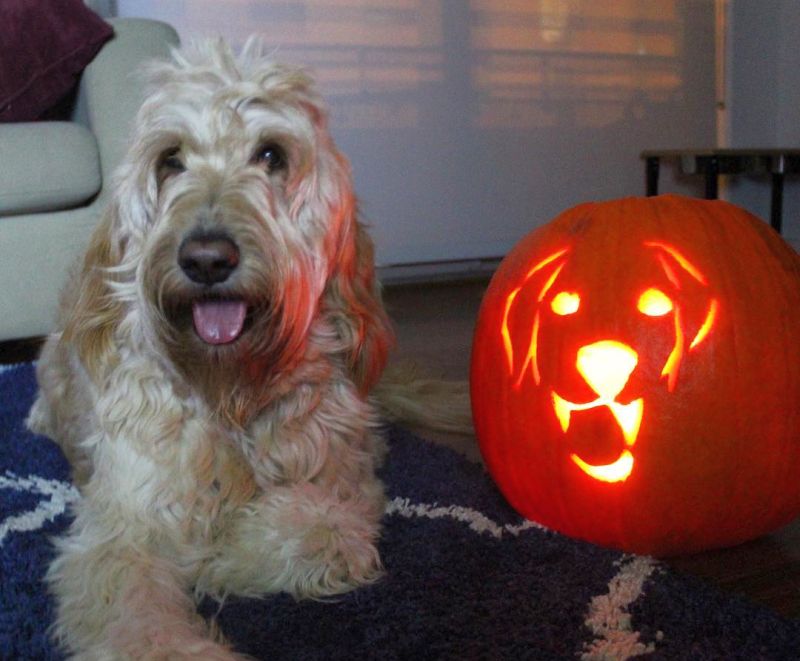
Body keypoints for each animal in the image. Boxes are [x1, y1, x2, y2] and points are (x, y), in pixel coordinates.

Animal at [28, 38, 468, 656]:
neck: (230, 390)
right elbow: (141, 619)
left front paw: (217, 557)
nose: (207, 259)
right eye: (170, 159)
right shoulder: (123, 525)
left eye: (270, 155)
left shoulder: (343, 480)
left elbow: (320, 529)